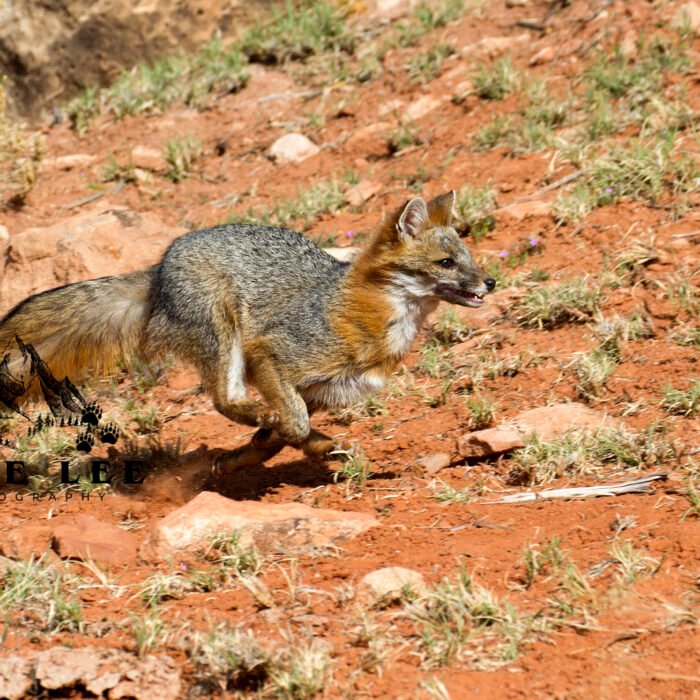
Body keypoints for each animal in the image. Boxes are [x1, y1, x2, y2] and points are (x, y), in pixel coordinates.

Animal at [0, 191, 495, 469]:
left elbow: (287, 431)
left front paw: (255, 456)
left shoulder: (319, 389)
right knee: (224, 398)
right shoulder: (271, 356)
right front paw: (287, 441)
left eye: (469, 258)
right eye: (446, 263)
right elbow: (292, 422)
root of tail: (158, 271)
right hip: (226, 334)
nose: (490, 282)